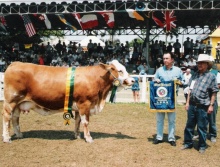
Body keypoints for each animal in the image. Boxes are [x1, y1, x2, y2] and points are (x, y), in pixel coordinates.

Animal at [2, 59, 134, 142]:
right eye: (120, 70)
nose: (133, 80)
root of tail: (14, 64)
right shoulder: (84, 104)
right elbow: (86, 122)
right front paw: (89, 138)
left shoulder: (78, 106)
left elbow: (78, 121)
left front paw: (77, 136)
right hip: (10, 101)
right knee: (7, 117)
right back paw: (7, 138)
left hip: (19, 104)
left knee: (15, 118)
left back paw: (19, 135)